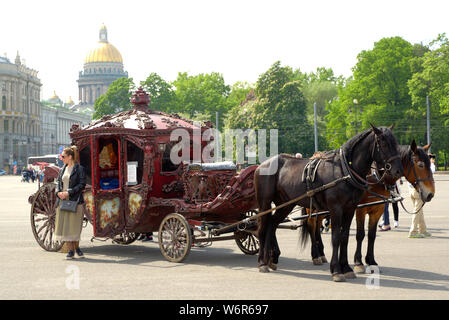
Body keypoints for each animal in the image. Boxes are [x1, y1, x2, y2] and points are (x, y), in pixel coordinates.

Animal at [254, 126, 400, 282]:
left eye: (395, 143)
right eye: (383, 143)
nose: (397, 170)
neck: (344, 170)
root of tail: (262, 165)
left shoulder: (350, 208)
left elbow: (344, 237)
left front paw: (346, 268)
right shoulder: (336, 208)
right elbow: (336, 237)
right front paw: (336, 270)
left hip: (286, 204)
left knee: (272, 225)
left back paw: (270, 259)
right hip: (265, 204)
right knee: (263, 228)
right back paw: (262, 262)